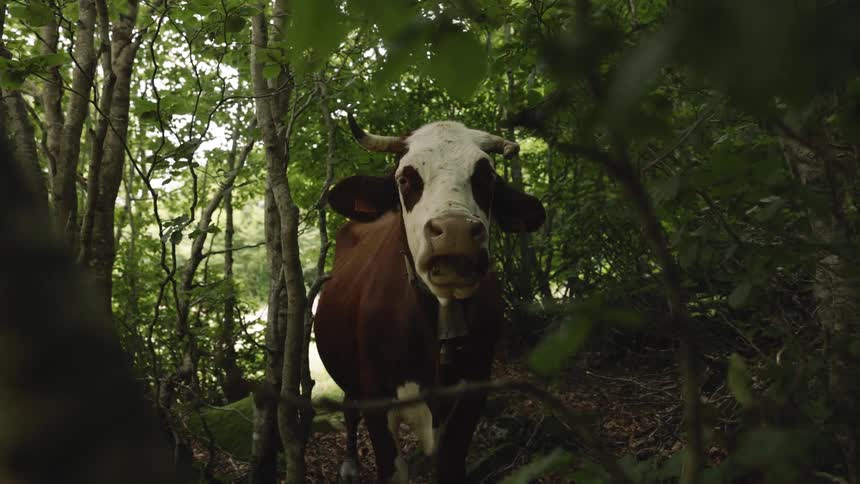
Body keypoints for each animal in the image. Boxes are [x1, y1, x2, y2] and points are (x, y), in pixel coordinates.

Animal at [314, 113, 545, 483]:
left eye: (486, 177)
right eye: (406, 178)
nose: (455, 232)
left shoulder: (472, 395)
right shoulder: (377, 399)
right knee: (350, 408)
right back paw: (349, 463)